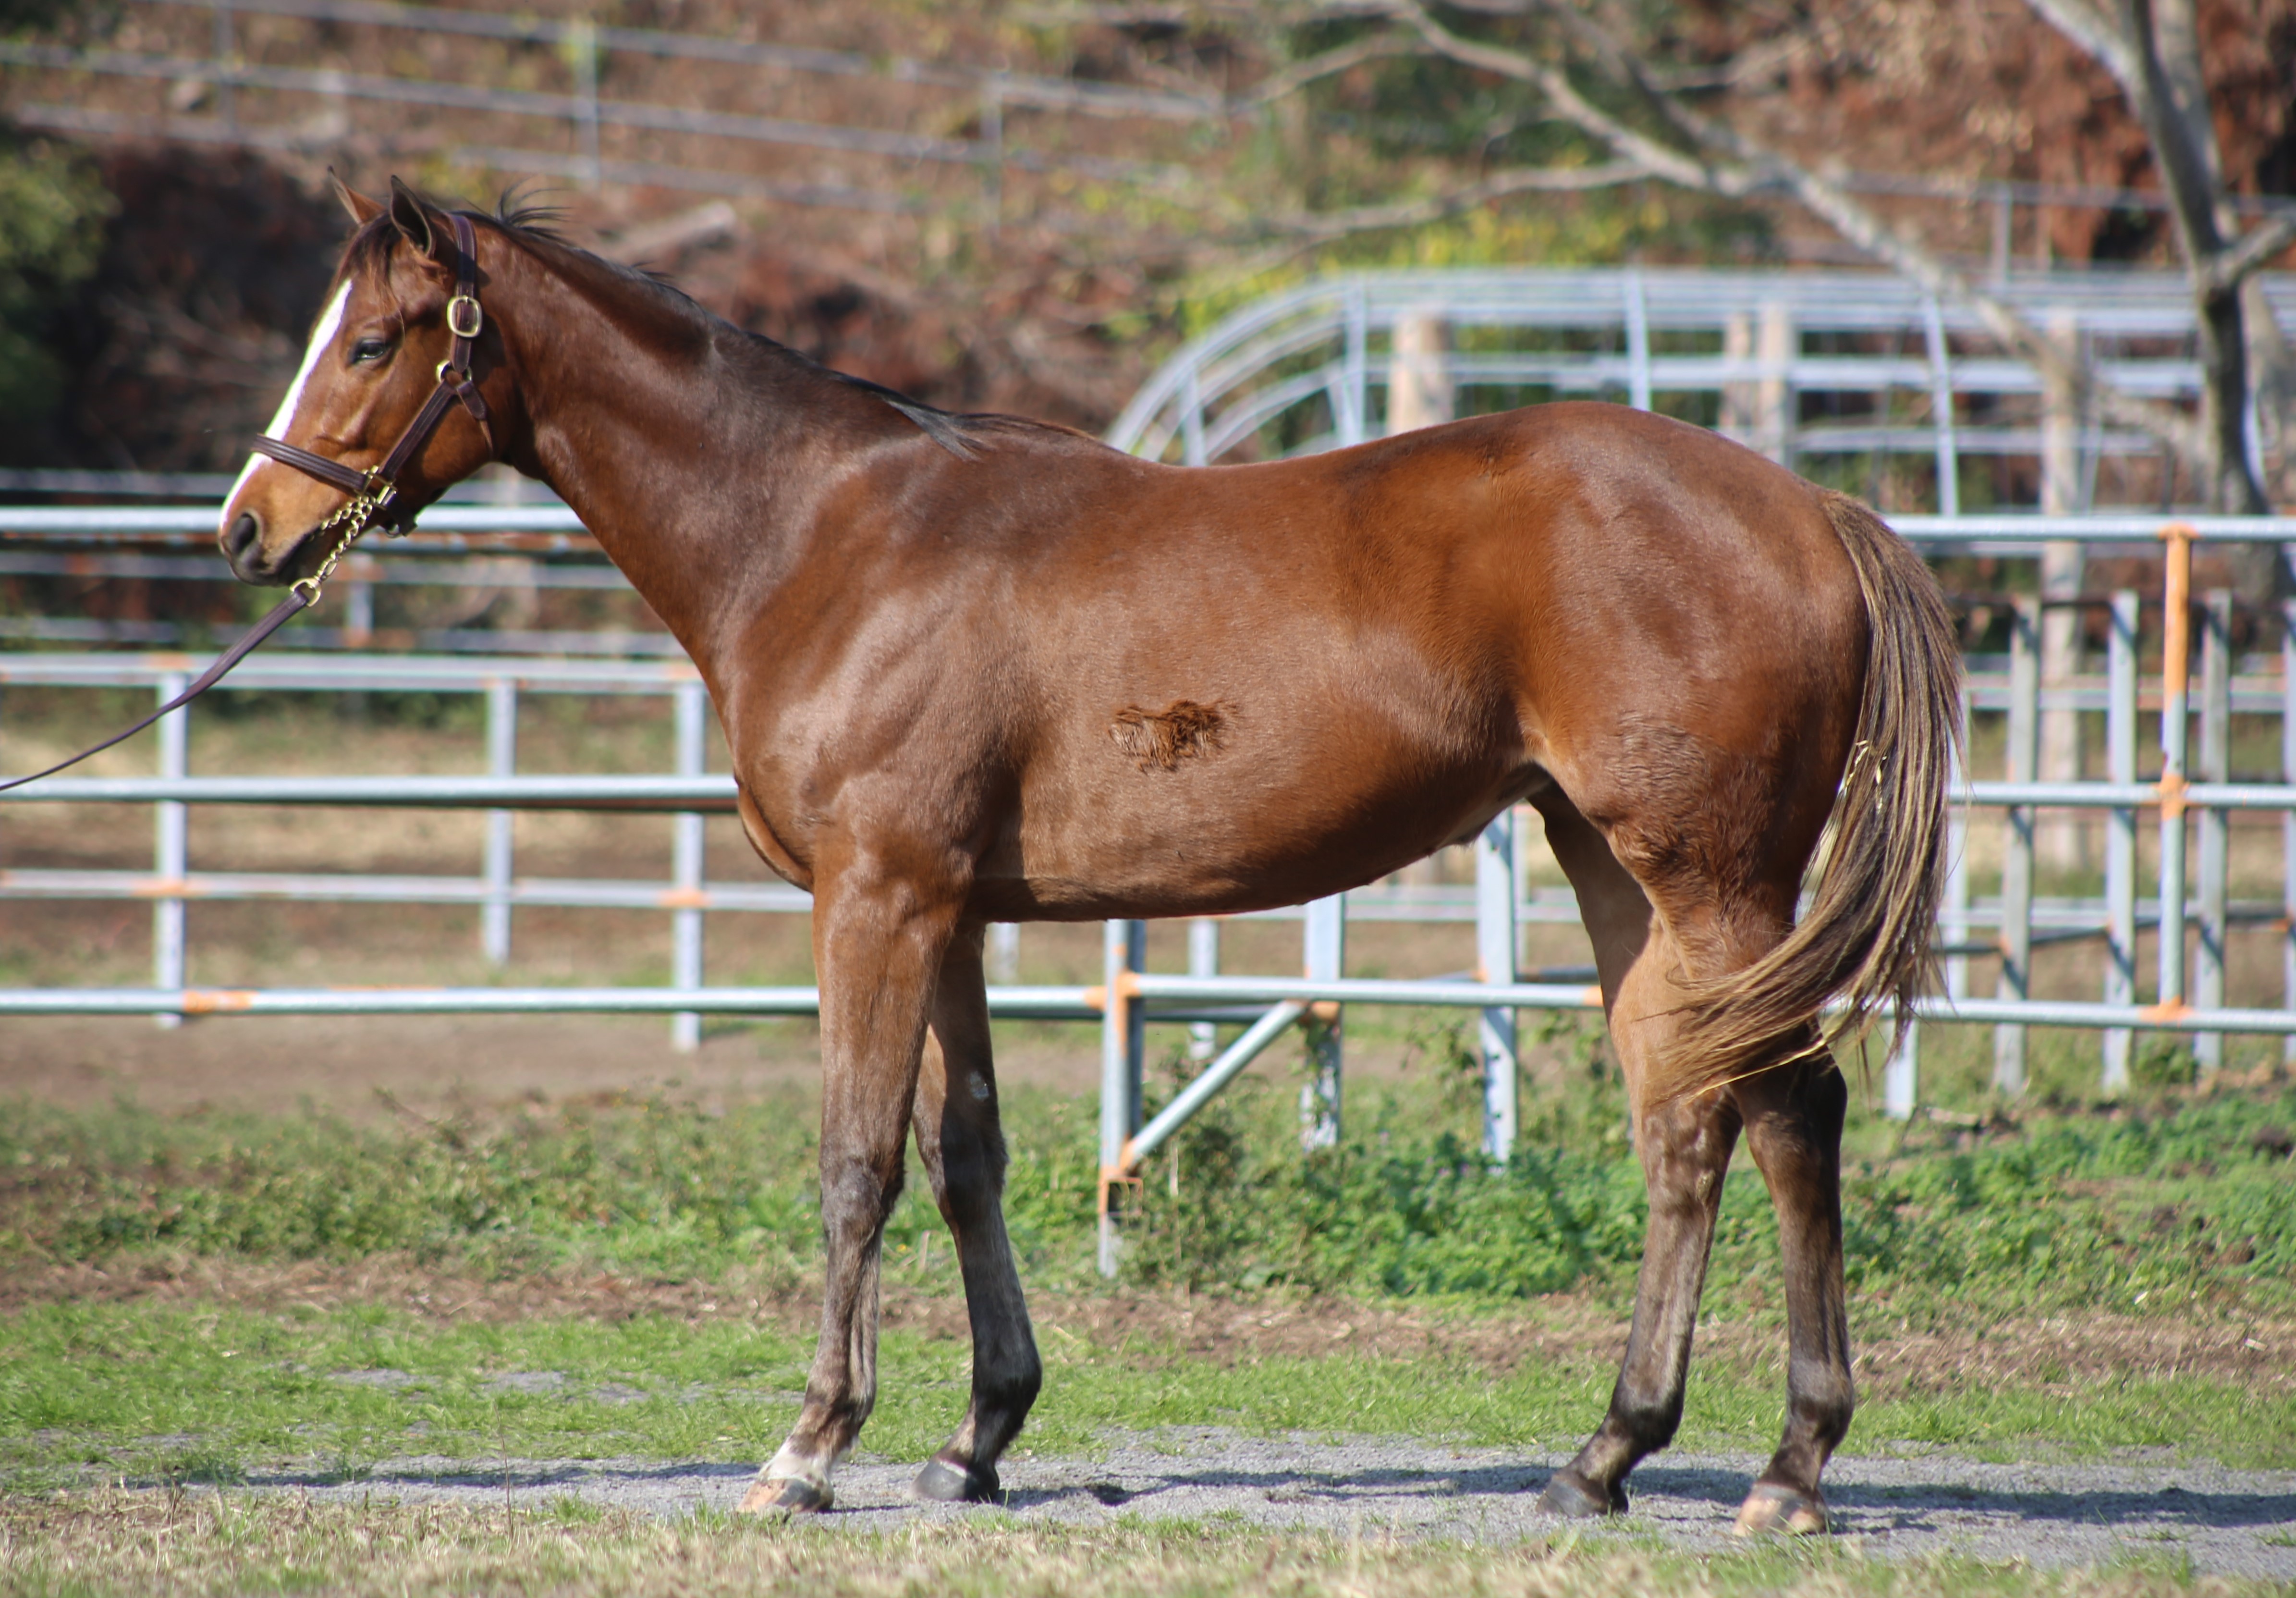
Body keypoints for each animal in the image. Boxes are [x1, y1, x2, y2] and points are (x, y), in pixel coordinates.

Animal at [219, 181, 1956, 1543]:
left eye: (372, 341)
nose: (248, 528)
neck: (821, 537)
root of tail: (1810, 506)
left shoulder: (876, 899)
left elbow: (854, 1162)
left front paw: (806, 1448)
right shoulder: (952, 912)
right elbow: (963, 1156)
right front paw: (976, 1436)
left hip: (1713, 877)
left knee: (1791, 1109)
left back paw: (1790, 1468)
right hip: (1612, 864)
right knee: (1687, 1120)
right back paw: (1604, 1454)